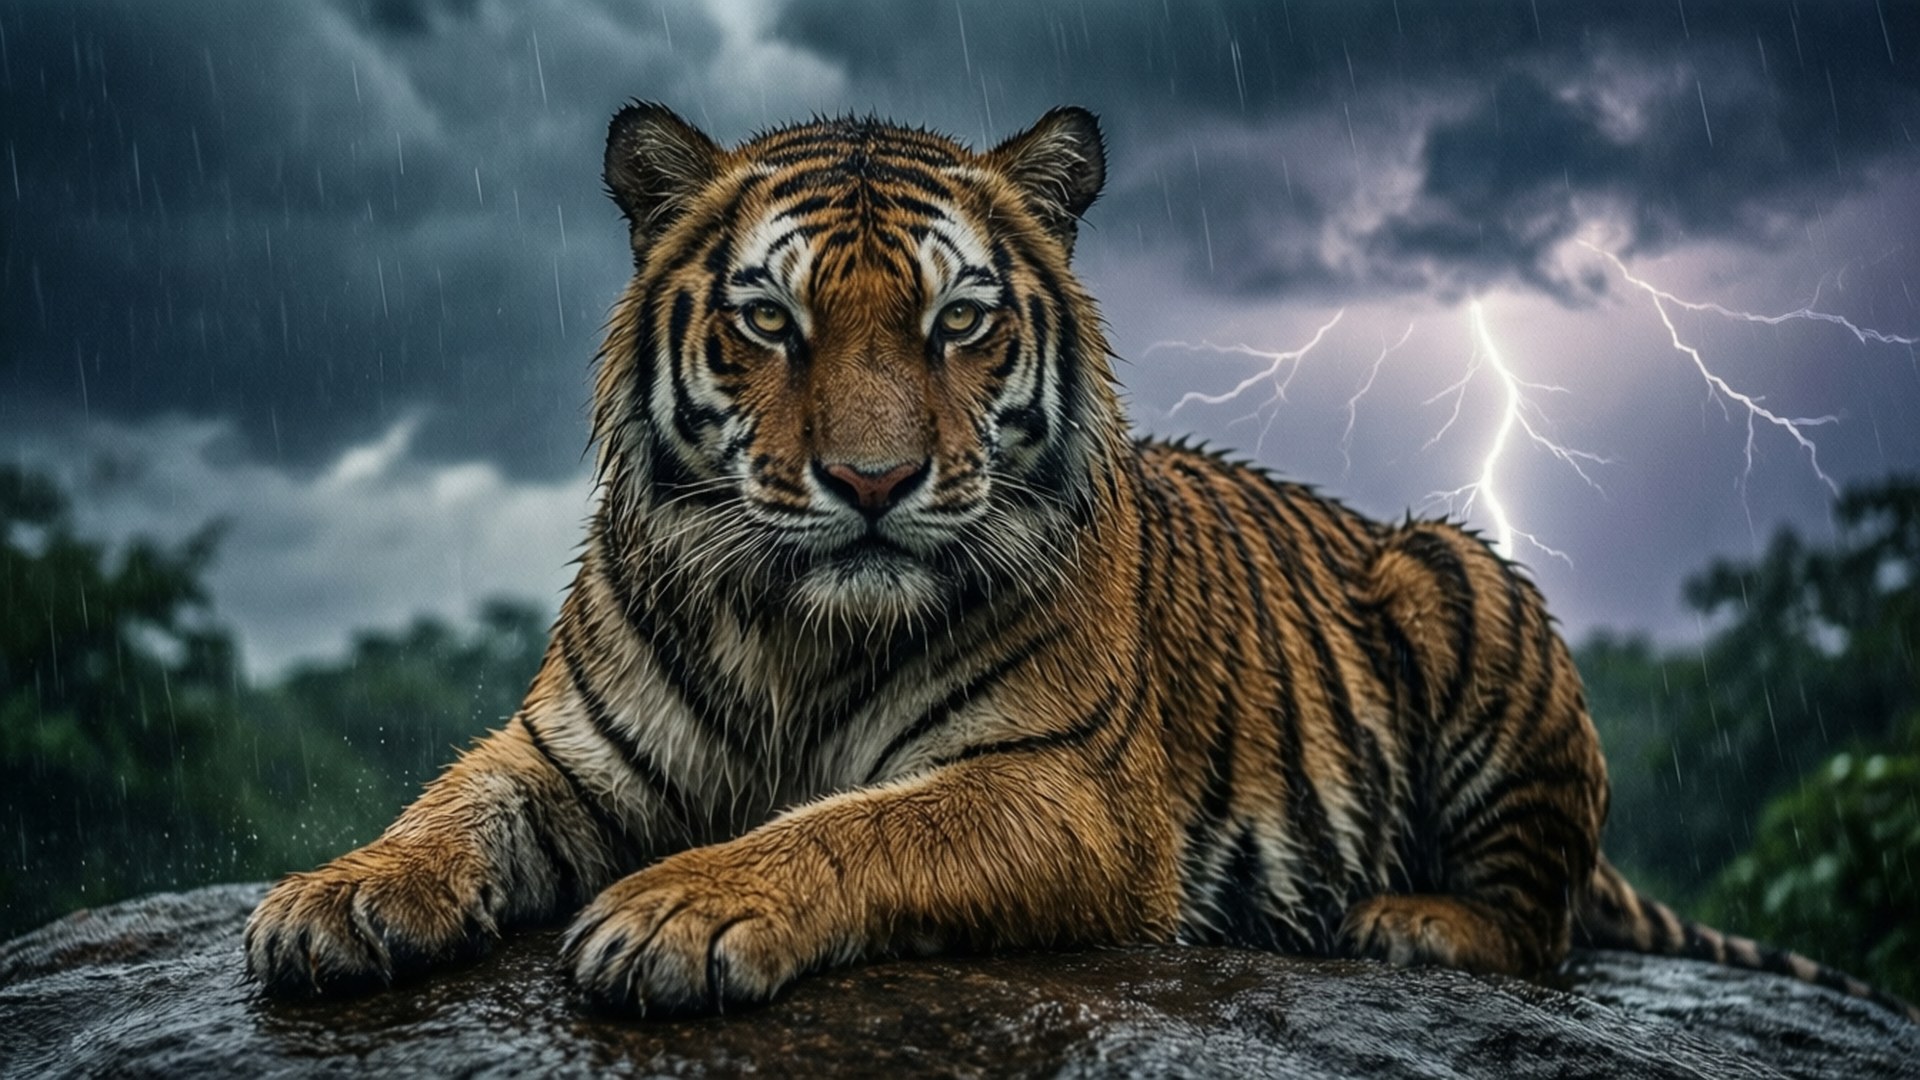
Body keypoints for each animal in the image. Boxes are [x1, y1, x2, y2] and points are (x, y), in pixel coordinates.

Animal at [244, 102, 1919, 1024]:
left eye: (959, 322)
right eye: (771, 320)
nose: (872, 483)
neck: (798, 634)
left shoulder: (1058, 787)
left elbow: (855, 827)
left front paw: (679, 911)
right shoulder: (563, 753)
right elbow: (448, 809)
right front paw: (332, 898)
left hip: (1461, 570)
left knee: (1541, 924)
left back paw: (1410, 922)